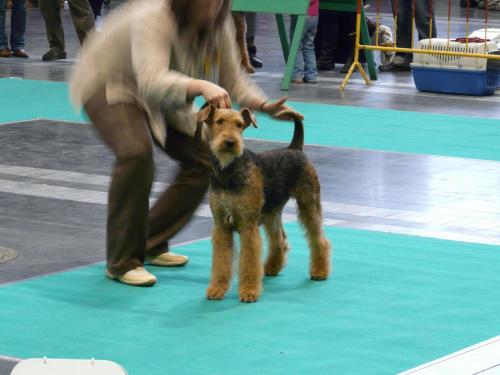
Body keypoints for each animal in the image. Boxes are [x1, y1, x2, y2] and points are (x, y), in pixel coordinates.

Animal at [195, 104, 332, 304]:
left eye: (239, 124)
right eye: (219, 121)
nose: (230, 143)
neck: (228, 173)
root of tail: (295, 148)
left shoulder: (248, 225)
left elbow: (249, 260)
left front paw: (249, 291)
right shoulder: (221, 226)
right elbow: (221, 261)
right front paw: (217, 289)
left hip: (308, 203)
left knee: (319, 239)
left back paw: (320, 271)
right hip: (272, 213)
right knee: (279, 239)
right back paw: (271, 267)